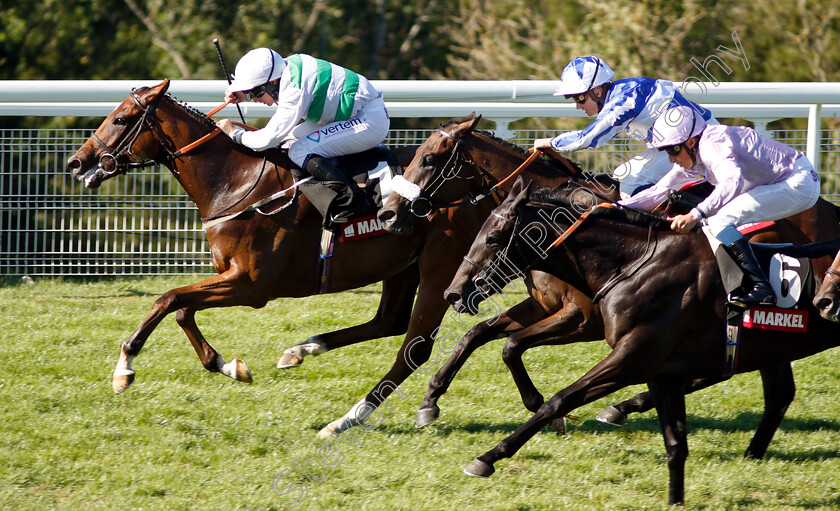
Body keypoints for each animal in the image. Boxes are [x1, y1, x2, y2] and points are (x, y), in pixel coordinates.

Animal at [442, 179, 836, 504]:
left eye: (493, 237)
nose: (454, 293)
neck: (634, 262)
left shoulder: (619, 346)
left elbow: (558, 398)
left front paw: (489, 456)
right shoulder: (647, 359)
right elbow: (498, 340)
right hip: (768, 346)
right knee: (777, 394)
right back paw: (749, 453)